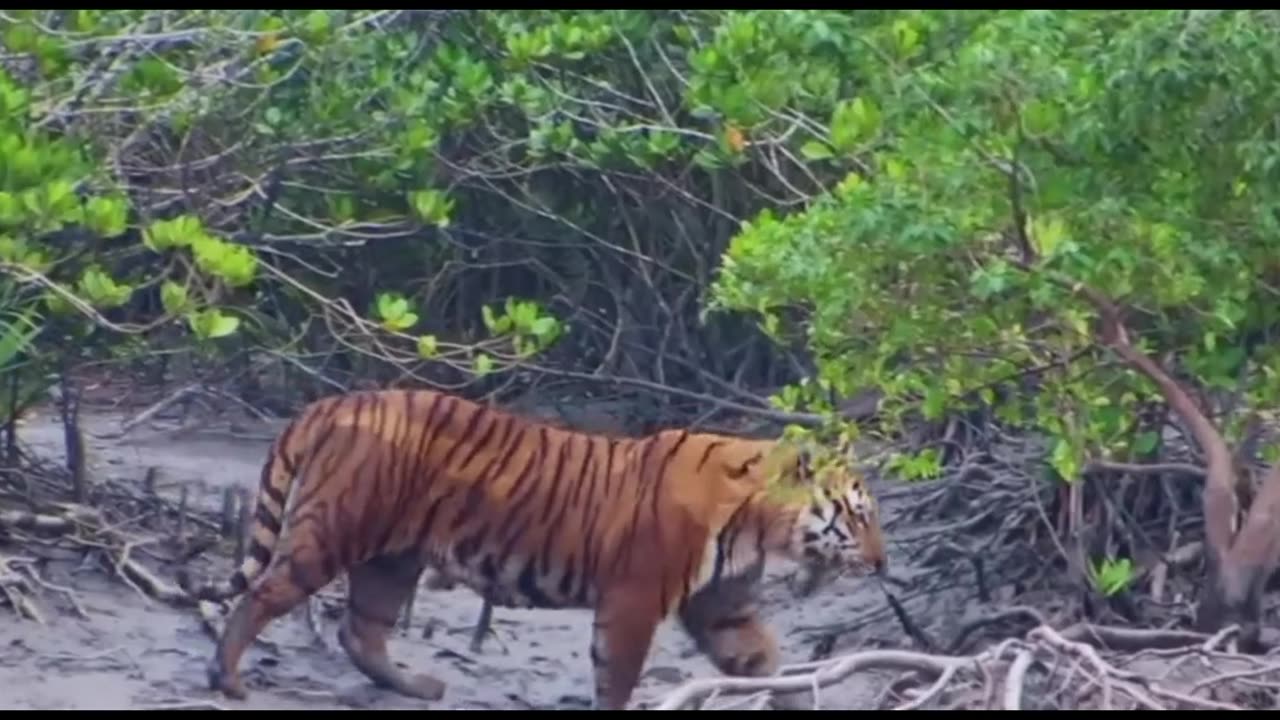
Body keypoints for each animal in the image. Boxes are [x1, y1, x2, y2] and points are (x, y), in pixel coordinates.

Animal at [175, 386, 885, 707]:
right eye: (858, 514)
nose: (883, 562)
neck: (759, 523)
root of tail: (330, 402)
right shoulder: (634, 599)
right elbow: (618, 676)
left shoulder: (720, 605)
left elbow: (765, 659)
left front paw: (798, 696)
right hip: (335, 529)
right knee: (264, 594)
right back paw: (226, 678)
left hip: (394, 558)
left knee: (361, 629)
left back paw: (418, 686)